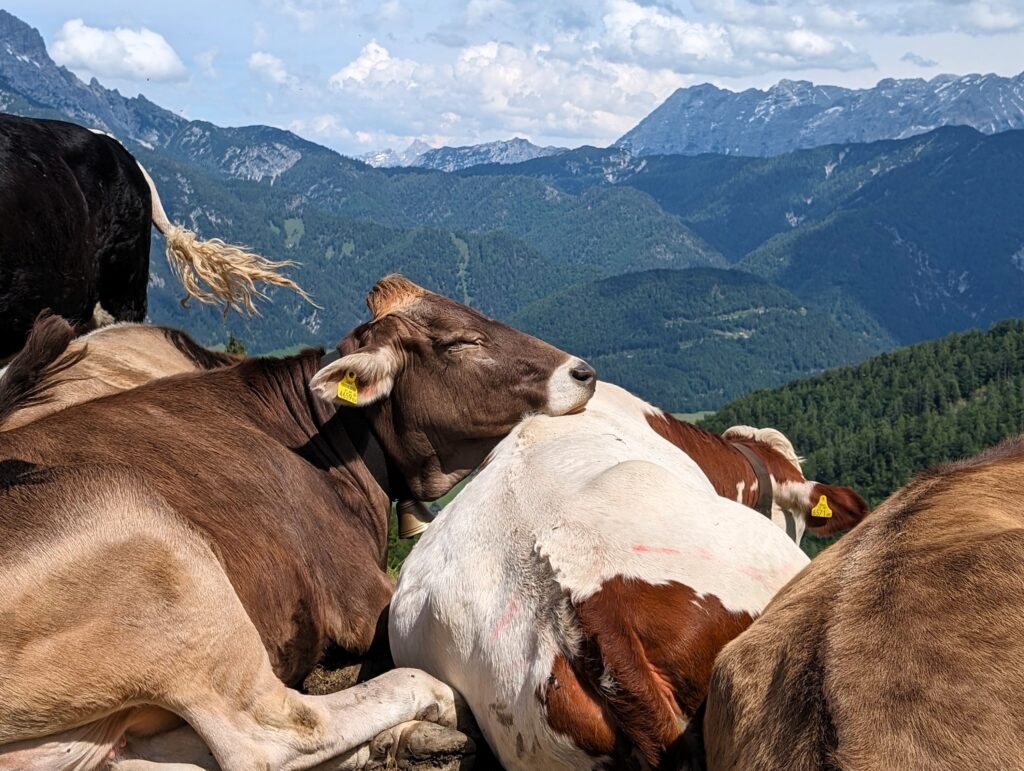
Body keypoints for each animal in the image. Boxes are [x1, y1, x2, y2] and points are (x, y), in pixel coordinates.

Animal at [0, 276, 598, 769]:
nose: (583, 372)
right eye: (460, 342)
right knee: (274, 736)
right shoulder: (360, 595)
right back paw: (432, 702)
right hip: (158, 551)